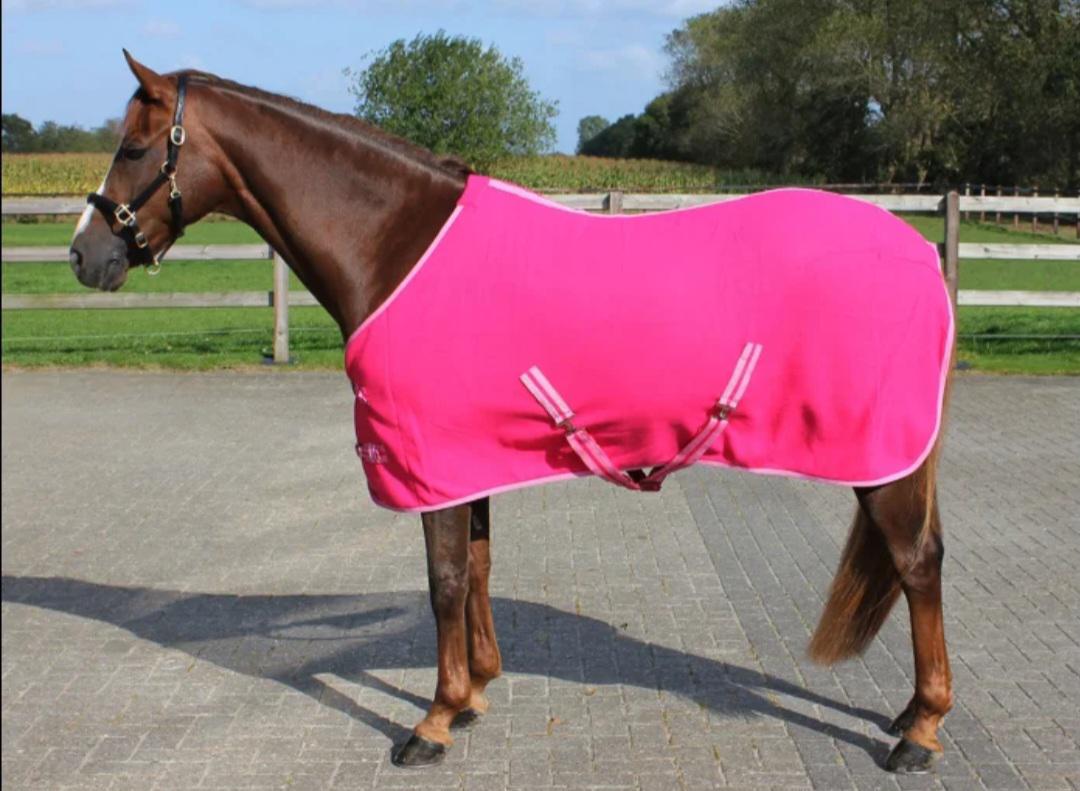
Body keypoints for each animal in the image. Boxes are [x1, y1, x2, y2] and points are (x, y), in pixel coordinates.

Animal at [68, 52, 954, 774]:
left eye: (134, 148)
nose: (84, 255)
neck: (397, 242)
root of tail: (918, 250)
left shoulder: (427, 459)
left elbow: (444, 581)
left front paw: (431, 721)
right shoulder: (467, 458)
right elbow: (480, 568)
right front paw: (472, 694)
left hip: (883, 458)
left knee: (917, 563)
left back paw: (920, 731)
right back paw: (911, 713)